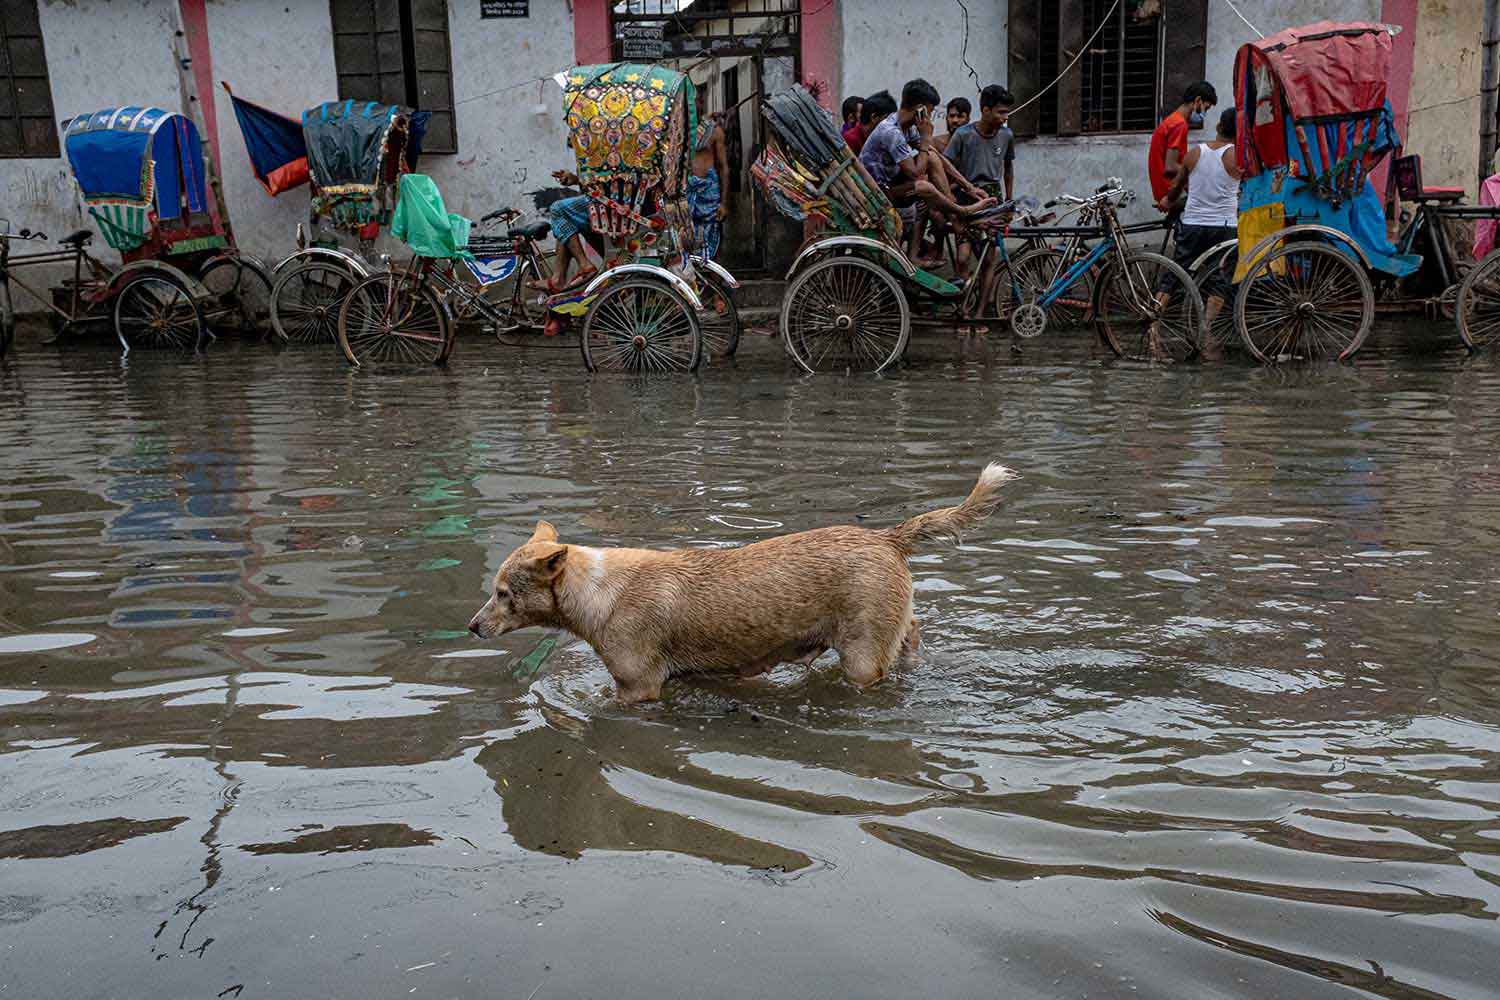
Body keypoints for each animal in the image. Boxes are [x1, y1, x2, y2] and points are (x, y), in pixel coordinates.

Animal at [462, 464, 1014, 704]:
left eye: (503, 594)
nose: (471, 627)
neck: (597, 591)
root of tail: (886, 537)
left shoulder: (639, 689)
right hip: (891, 632)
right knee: (911, 636)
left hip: (860, 657)